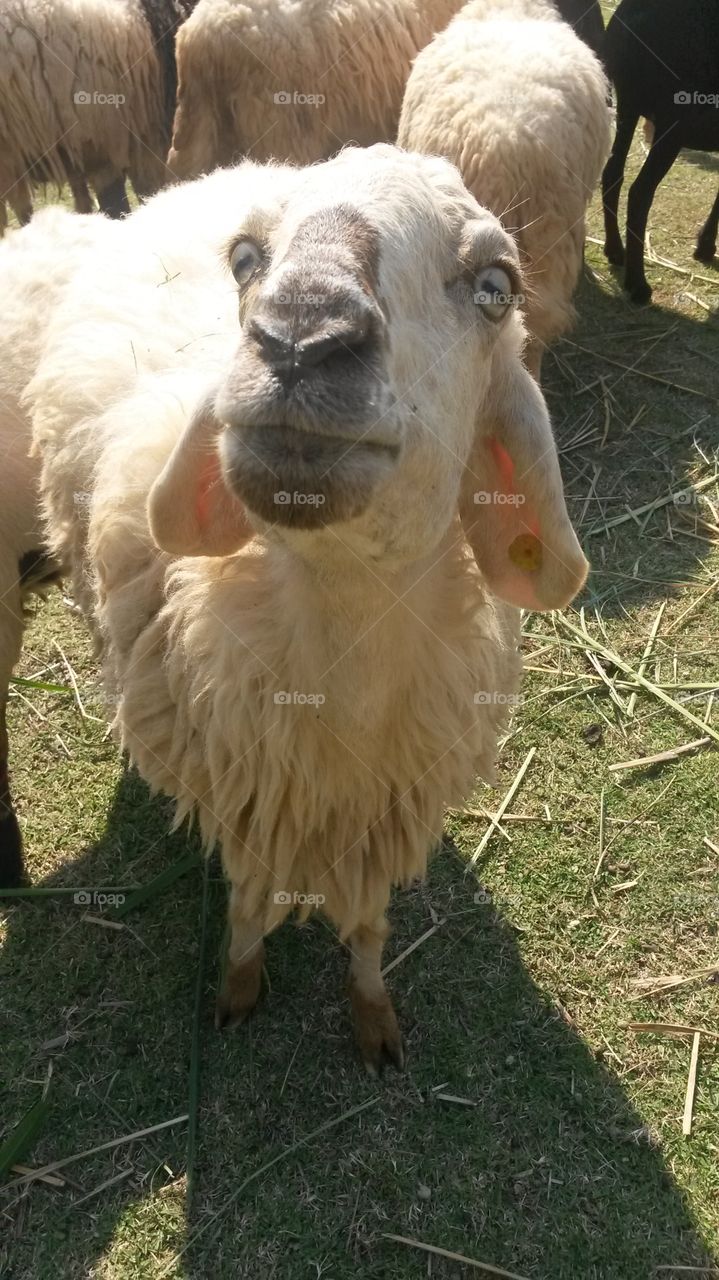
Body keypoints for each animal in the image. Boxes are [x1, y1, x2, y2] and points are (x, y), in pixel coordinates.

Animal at [13, 146, 587, 1068]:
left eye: (495, 285)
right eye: (246, 260)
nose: (299, 336)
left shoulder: (377, 816)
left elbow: (368, 929)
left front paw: (373, 1017)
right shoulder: (251, 802)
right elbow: (249, 910)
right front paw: (237, 990)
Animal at [602, 0, 719, 304]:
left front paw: (704, 246)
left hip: (628, 104)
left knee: (612, 174)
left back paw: (615, 250)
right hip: (674, 119)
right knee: (640, 192)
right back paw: (637, 285)